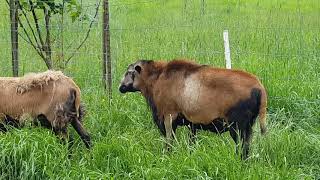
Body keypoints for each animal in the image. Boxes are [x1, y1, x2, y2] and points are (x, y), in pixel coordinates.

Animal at [119, 59, 266, 159]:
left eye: (129, 72)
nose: (120, 87)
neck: (156, 79)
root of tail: (259, 87)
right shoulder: (192, 124)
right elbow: (191, 143)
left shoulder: (169, 116)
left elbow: (169, 141)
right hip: (249, 125)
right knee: (247, 147)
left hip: (236, 125)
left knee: (242, 147)